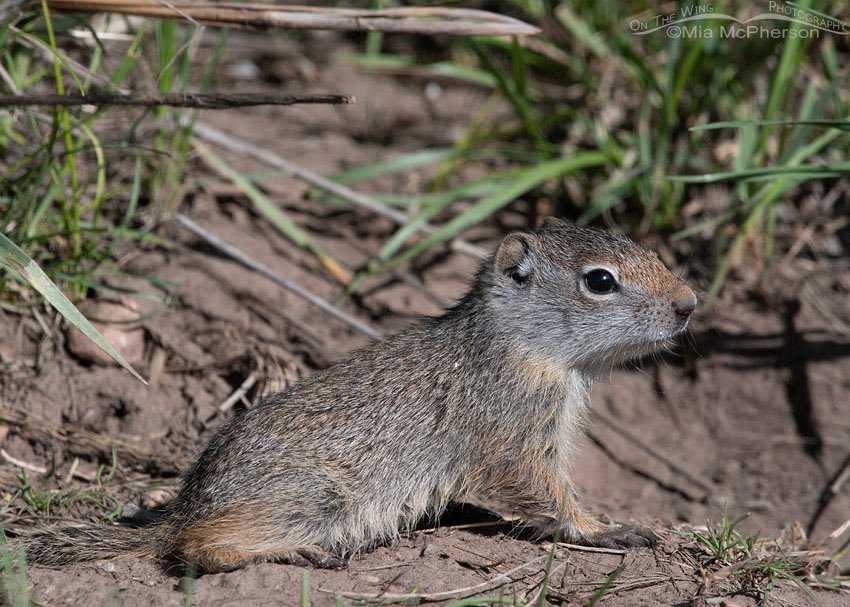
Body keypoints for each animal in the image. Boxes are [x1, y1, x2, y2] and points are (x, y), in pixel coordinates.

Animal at [20, 218, 696, 573]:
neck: (517, 340)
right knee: (195, 549)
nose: (690, 304)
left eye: (651, 251)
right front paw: (607, 530)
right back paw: (295, 553)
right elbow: (548, 495)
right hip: (312, 497)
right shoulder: (517, 438)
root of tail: (185, 507)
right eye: (600, 281)